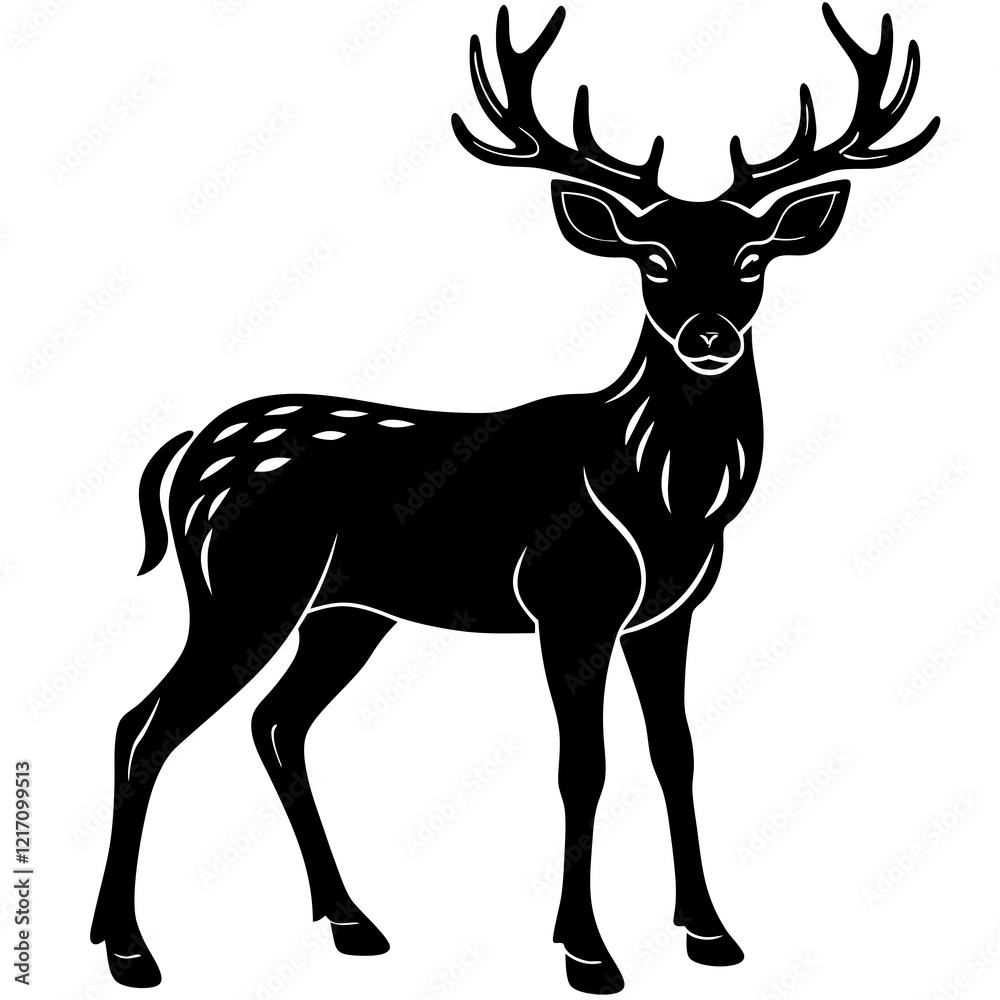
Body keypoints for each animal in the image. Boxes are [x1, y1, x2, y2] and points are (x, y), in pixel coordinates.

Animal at [90, 4, 938, 994]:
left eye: (754, 256)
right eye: (653, 258)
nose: (708, 335)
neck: (666, 498)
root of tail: (186, 454)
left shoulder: (667, 616)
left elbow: (676, 754)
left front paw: (711, 933)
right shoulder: (571, 603)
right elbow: (585, 768)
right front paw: (588, 951)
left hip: (345, 612)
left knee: (273, 723)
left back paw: (350, 921)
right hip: (244, 591)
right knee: (144, 723)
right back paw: (130, 948)